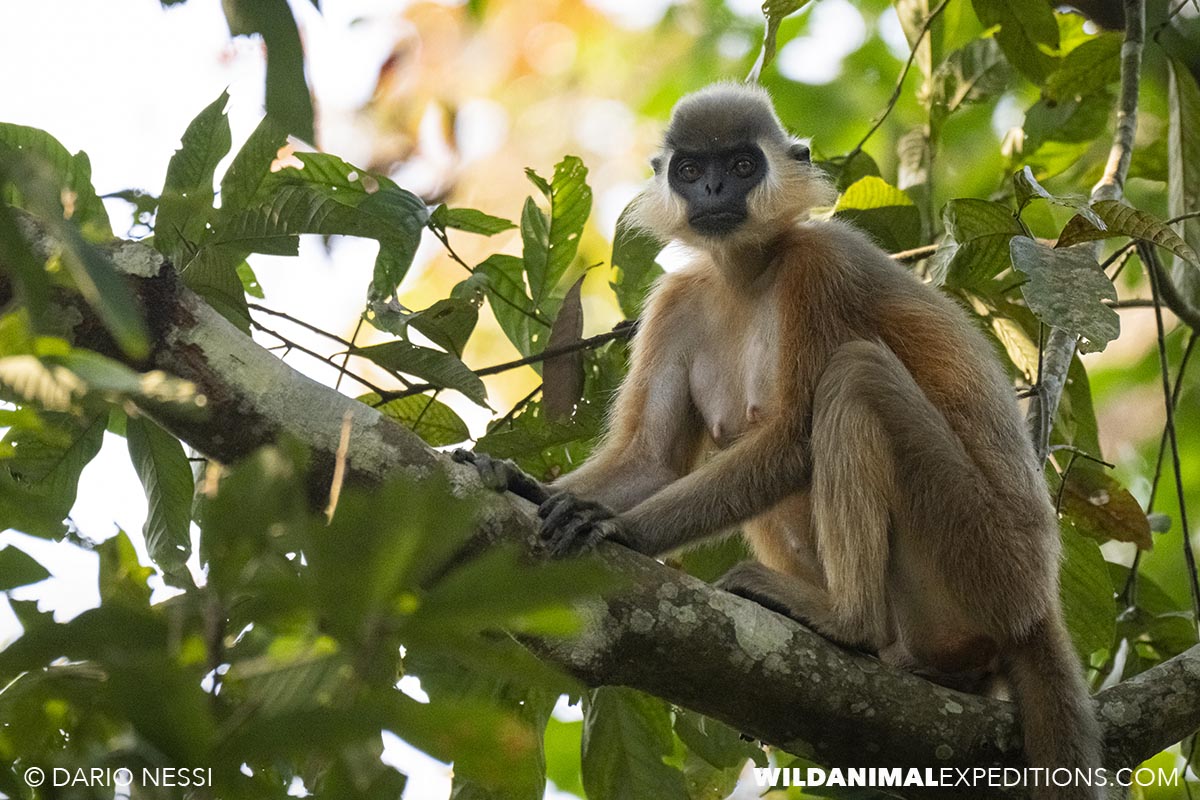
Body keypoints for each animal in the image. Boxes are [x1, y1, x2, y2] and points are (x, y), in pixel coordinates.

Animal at [455, 82, 1101, 799]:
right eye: (690, 169)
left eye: (742, 165)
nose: (712, 187)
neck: (749, 273)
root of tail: (1037, 606)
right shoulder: (678, 298)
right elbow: (652, 460)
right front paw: (523, 483)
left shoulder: (823, 267)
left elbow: (793, 437)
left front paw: (620, 528)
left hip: (983, 558)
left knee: (855, 374)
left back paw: (848, 623)